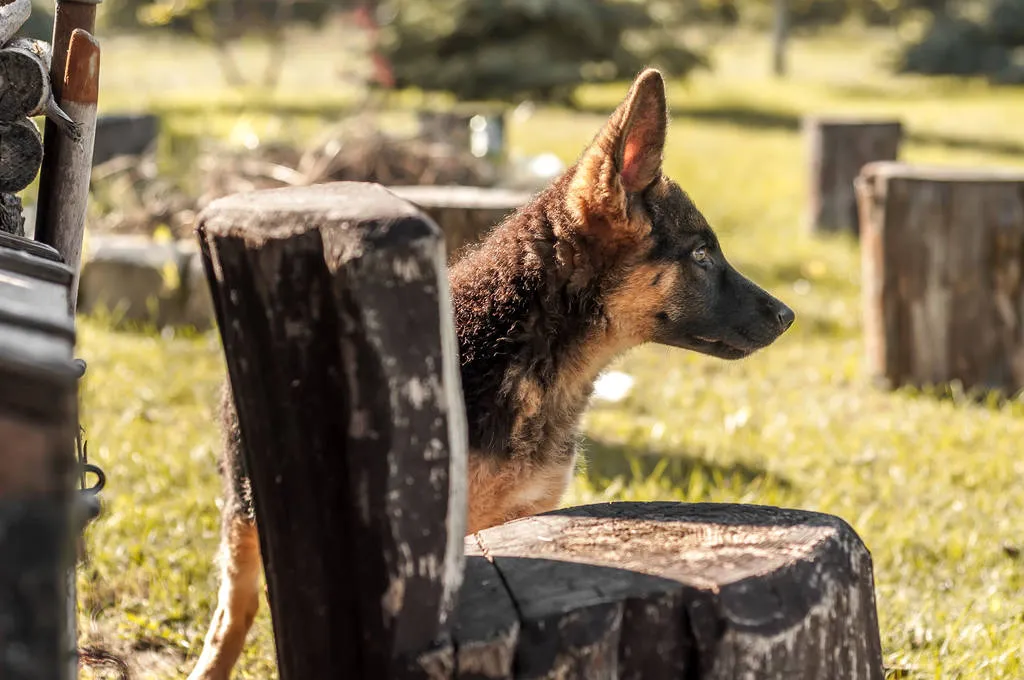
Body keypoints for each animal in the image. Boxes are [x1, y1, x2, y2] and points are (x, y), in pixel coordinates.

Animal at [188, 69, 794, 680]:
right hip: (247, 507)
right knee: (236, 607)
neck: (536, 363)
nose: (787, 317)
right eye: (701, 256)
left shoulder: (525, 519)